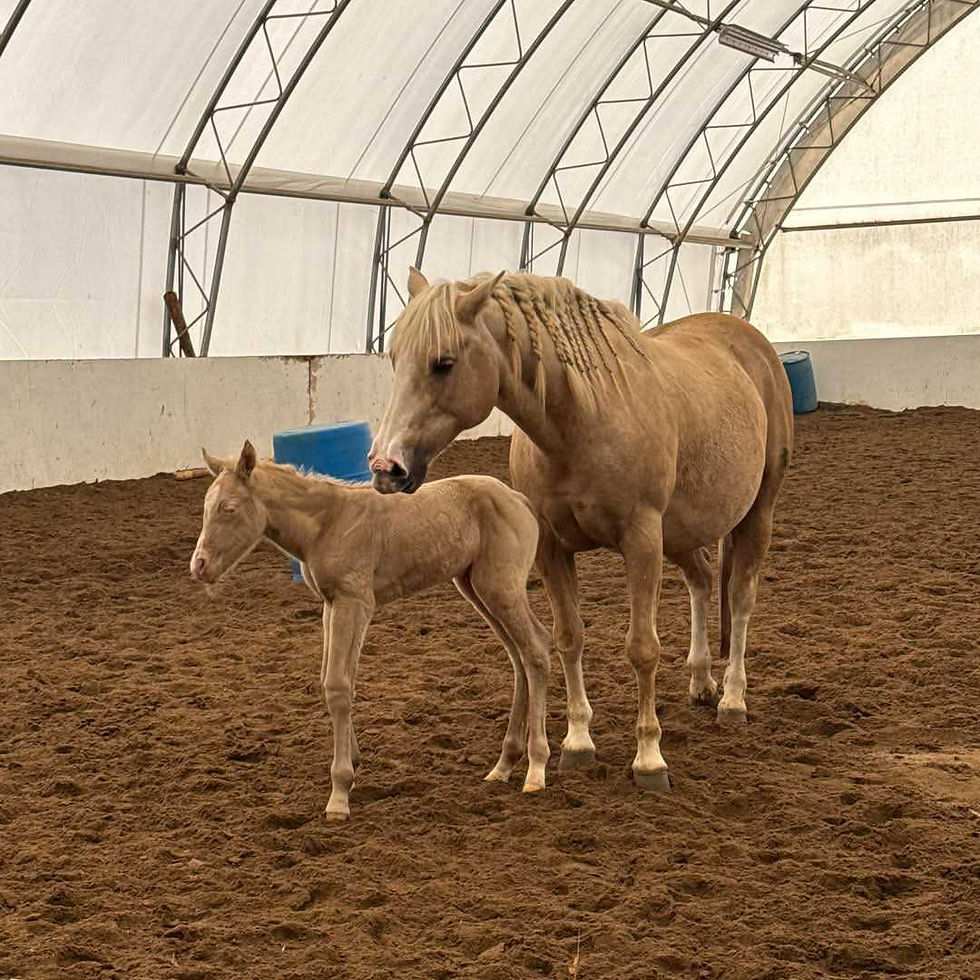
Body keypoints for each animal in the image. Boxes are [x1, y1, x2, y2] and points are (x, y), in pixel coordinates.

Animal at [190, 440, 551, 820]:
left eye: (228, 508)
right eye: (206, 507)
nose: (199, 566)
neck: (327, 523)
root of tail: (518, 498)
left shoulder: (354, 602)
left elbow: (337, 685)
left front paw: (339, 793)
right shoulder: (331, 605)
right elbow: (333, 678)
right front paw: (353, 762)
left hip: (500, 586)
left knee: (536, 651)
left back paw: (536, 768)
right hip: (474, 585)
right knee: (519, 657)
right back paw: (504, 764)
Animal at [369, 268, 793, 790]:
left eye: (443, 363)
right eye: (394, 358)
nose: (386, 468)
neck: (581, 420)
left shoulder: (642, 540)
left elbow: (642, 648)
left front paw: (649, 757)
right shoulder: (553, 549)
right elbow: (569, 637)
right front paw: (577, 742)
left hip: (756, 512)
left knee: (740, 597)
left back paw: (732, 698)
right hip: (681, 532)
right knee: (701, 579)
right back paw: (701, 681)